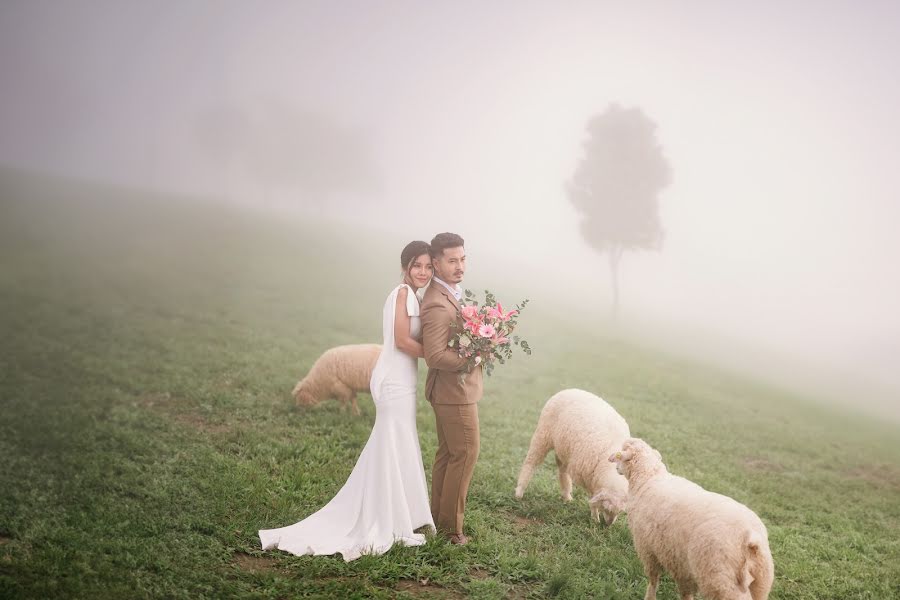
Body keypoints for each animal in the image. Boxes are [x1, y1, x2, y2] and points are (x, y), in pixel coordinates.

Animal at [516, 390, 628, 524]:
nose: (609, 525)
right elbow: (592, 499)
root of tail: (567, 390)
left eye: (620, 512)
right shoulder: (588, 478)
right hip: (542, 435)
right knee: (531, 462)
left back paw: (567, 496)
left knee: (563, 471)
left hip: (564, 449)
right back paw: (519, 492)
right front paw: (595, 519)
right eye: (606, 508)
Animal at [608, 436, 776, 600]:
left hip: (721, 580)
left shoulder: (648, 549)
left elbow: (653, 580)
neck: (648, 477)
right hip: (761, 582)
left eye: (621, 455)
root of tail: (750, 535)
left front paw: (649, 597)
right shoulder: (680, 563)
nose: (615, 467)